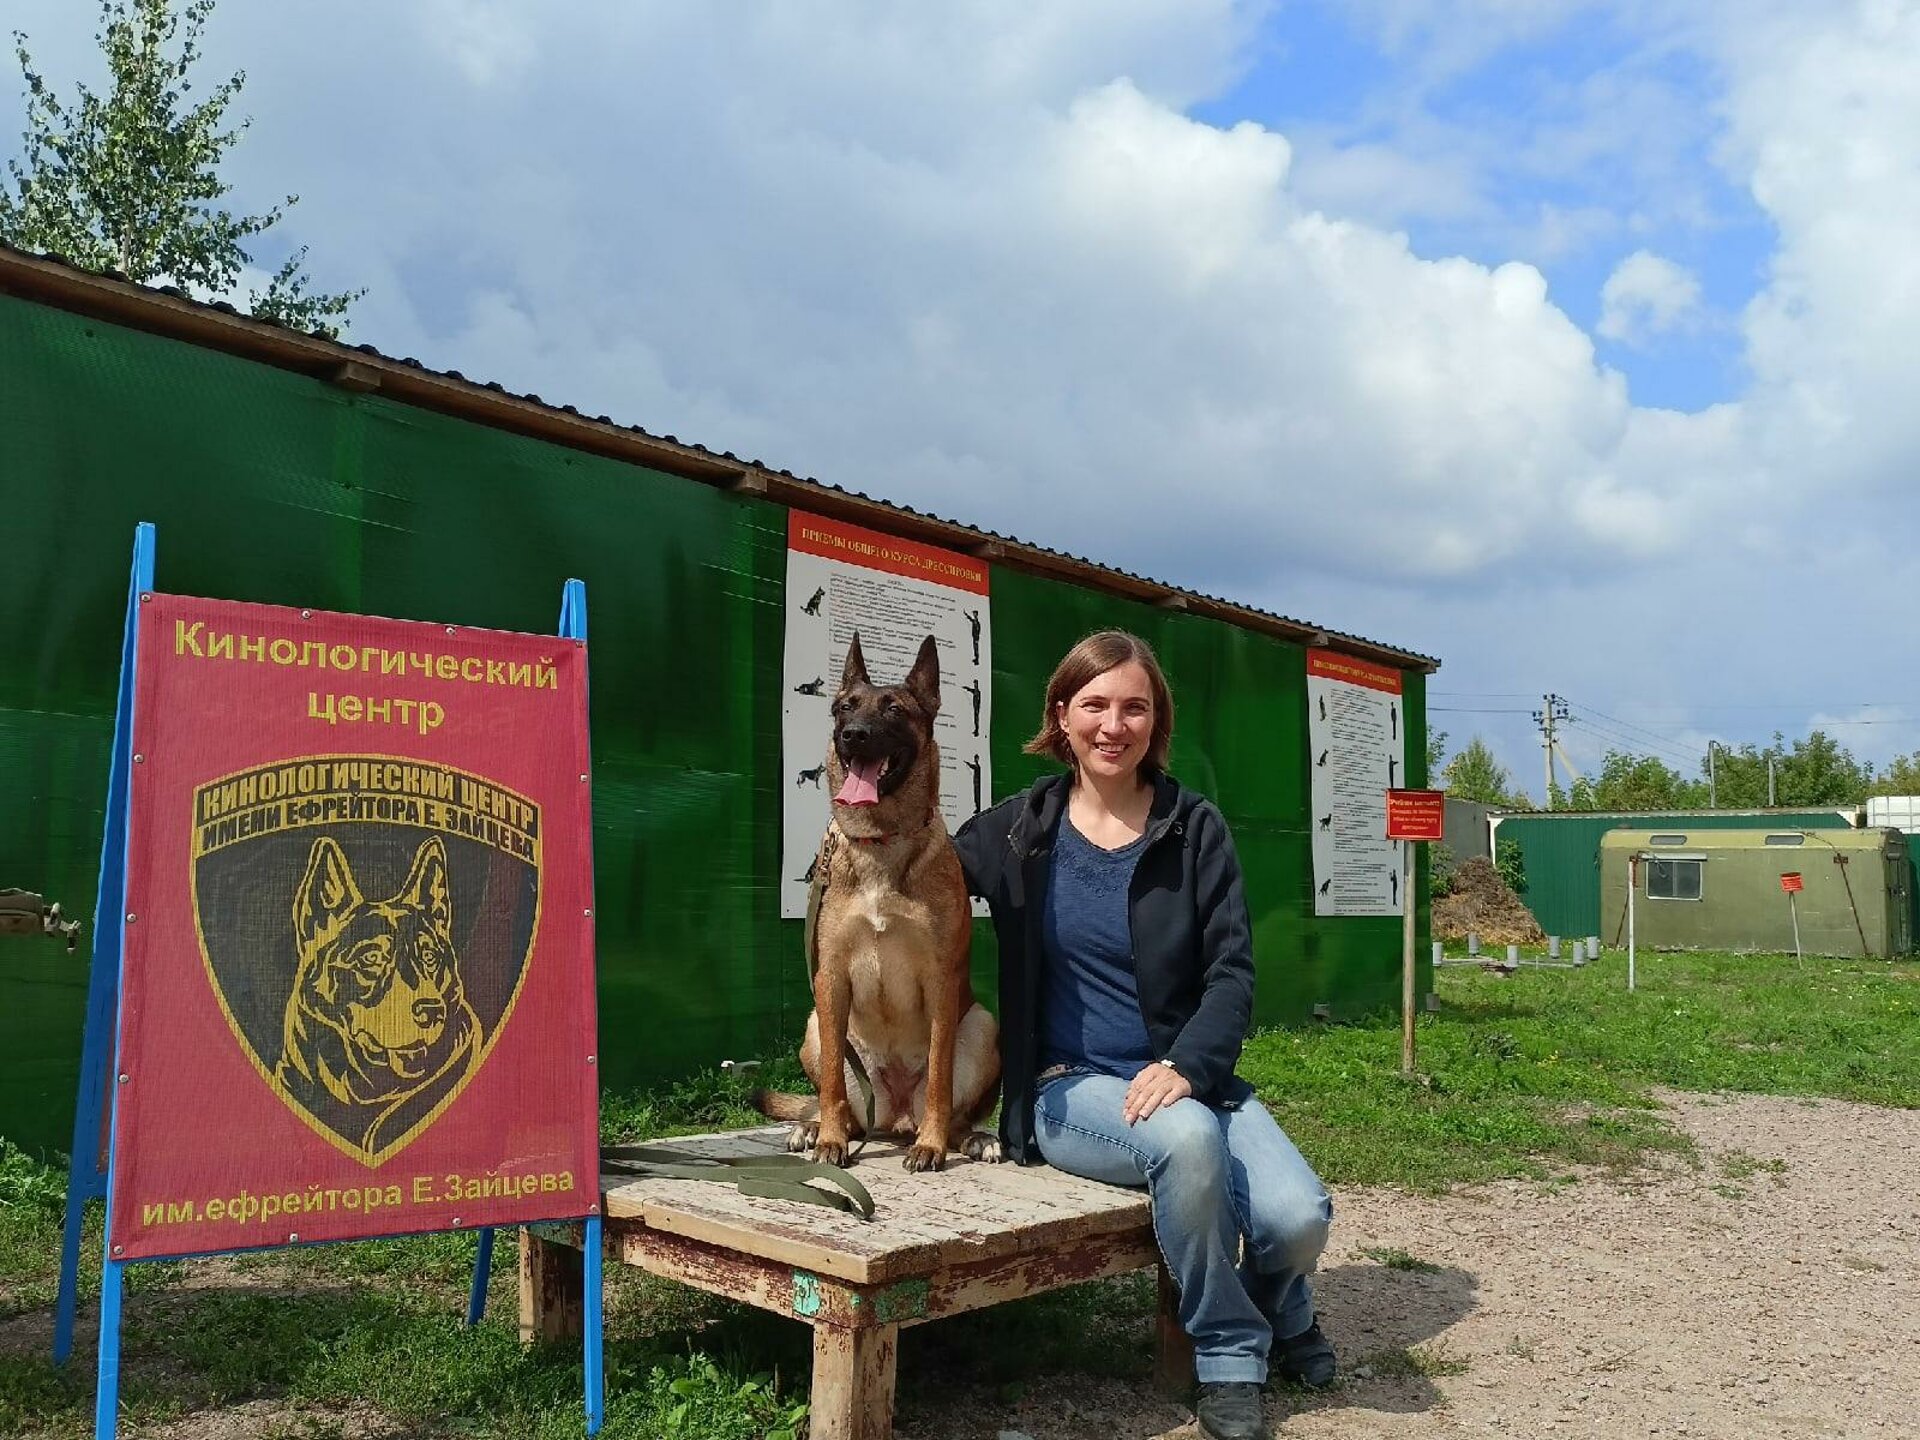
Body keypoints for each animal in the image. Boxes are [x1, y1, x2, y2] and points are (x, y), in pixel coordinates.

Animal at [756, 629, 1006, 1175]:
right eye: (843, 708)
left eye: (894, 710)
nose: (852, 735)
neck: (880, 841)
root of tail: (894, 1116)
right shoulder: (829, 980)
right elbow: (832, 1078)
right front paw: (829, 1139)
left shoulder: (941, 980)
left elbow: (939, 1079)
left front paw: (932, 1146)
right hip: (815, 1024)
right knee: (846, 1106)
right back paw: (817, 1128)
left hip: (982, 1023)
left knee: (951, 1108)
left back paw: (966, 1137)